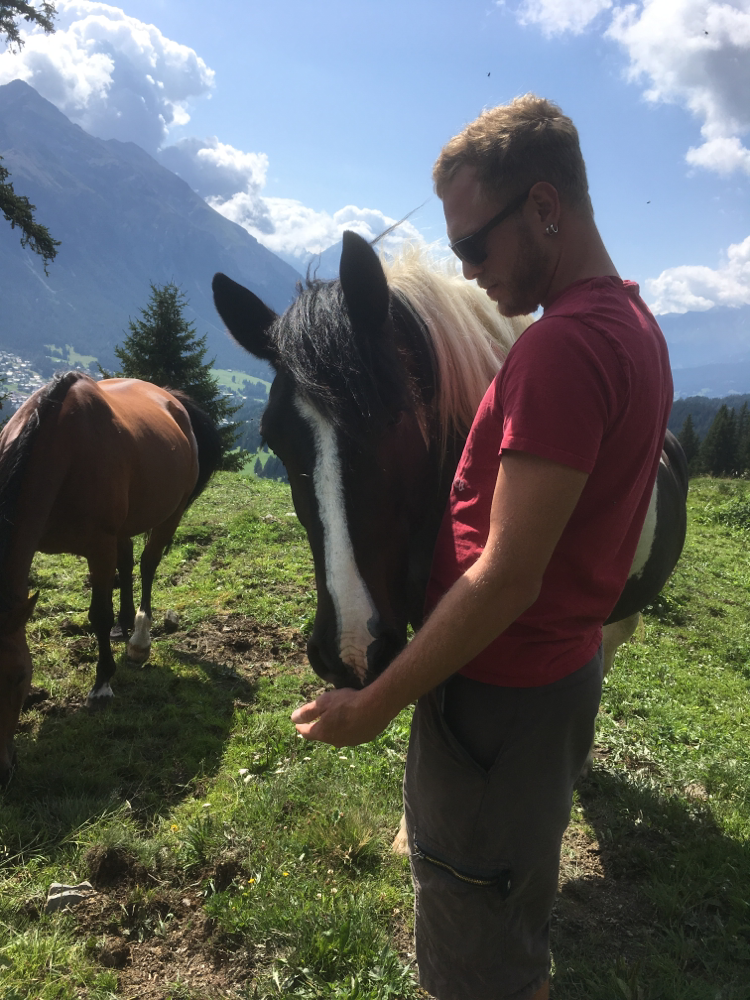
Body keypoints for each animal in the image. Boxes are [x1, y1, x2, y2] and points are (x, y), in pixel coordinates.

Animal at [0, 372, 223, 784]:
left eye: (20, 677)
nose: (2, 771)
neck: (60, 449)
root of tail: (172, 398)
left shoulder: (98, 548)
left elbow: (98, 616)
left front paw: (102, 685)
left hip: (170, 514)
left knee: (148, 564)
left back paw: (139, 638)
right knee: (129, 560)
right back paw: (125, 623)